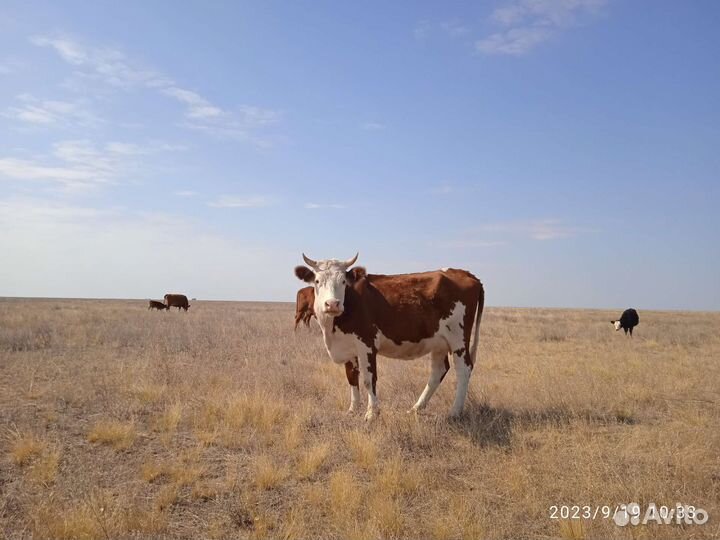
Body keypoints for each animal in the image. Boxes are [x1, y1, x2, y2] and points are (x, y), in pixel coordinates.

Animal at [294, 253, 484, 420]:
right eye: (317, 281)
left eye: (342, 281)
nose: (332, 304)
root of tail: (466, 273)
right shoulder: (347, 346)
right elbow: (351, 377)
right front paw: (353, 409)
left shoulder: (367, 344)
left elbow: (368, 379)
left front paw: (372, 413)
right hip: (439, 343)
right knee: (438, 371)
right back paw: (416, 408)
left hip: (458, 339)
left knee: (463, 370)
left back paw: (455, 412)